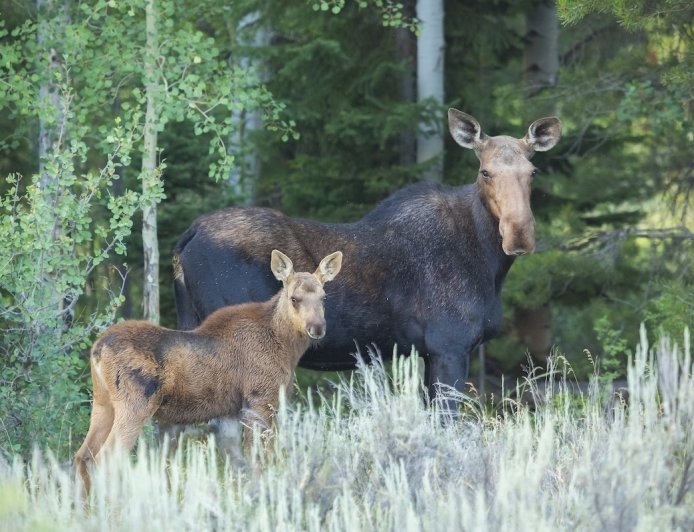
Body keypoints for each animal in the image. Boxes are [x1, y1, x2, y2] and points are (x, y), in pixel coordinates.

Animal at [75, 249, 343, 494]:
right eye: (294, 298)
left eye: (324, 297)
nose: (317, 328)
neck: (286, 348)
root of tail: (97, 349)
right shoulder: (260, 399)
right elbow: (259, 459)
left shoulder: (231, 411)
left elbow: (238, 464)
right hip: (135, 404)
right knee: (106, 459)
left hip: (102, 403)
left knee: (83, 455)